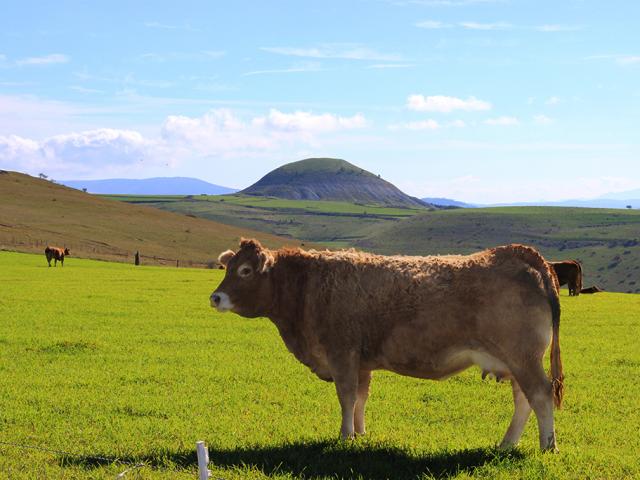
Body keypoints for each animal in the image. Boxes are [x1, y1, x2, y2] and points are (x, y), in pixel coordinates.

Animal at [211, 240, 564, 454]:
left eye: (245, 271)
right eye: (226, 268)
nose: (215, 297)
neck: (307, 287)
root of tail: (521, 254)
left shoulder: (342, 354)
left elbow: (346, 396)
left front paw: (345, 436)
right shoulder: (361, 362)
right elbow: (360, 398)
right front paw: (360, 433)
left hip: (523, 358)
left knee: (540, 395)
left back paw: (548, 446)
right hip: (514, 362)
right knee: (524, 401)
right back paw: (507, 444)